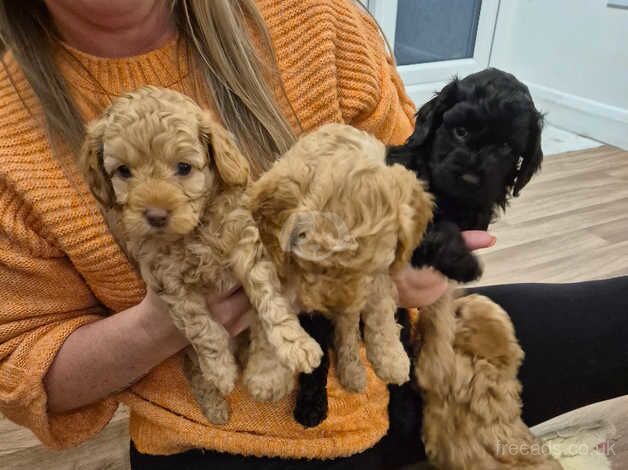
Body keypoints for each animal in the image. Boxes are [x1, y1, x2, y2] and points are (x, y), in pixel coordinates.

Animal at [79, 86, 324, 424]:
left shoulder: (248, 246)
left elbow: (270, 305)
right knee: (193, 370)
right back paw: (215, 405)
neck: (195, 231)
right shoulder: (167, 279)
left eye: (184, 168)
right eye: (123, 171)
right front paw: (220, 371)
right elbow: (201, 328)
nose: (155, 215)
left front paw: (291, 350)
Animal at [248, 123, 434, 394]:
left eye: (369, 270)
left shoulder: (379, 276)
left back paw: (352, 369)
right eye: (316, 267)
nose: (335, 308)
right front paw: (267, 374)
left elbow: (380, 307)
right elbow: (269, 305)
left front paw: (391, 358)